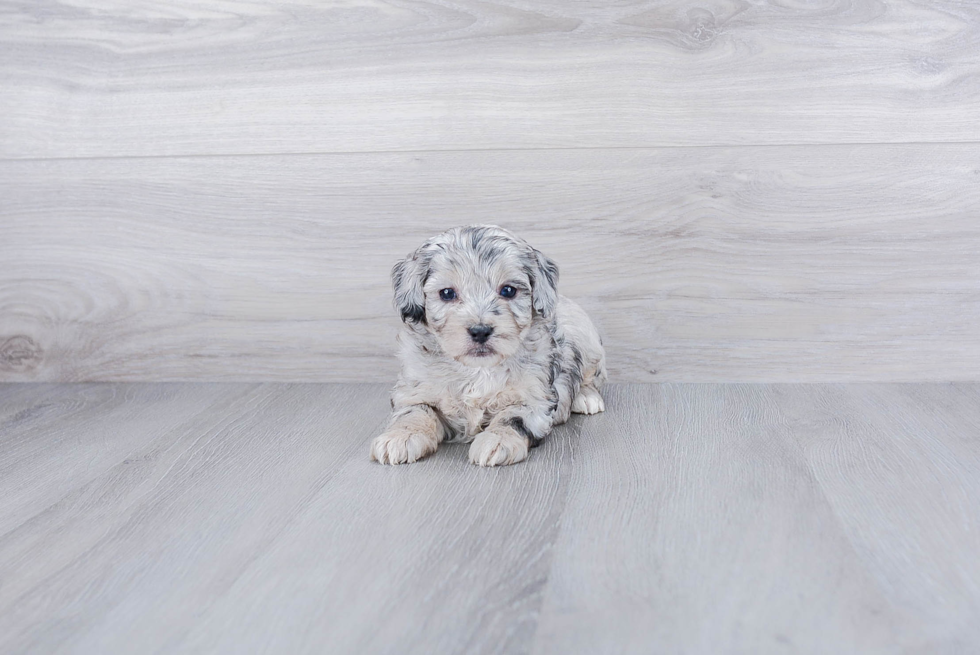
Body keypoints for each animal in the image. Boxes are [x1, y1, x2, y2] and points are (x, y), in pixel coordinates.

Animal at [372, 226, 604, 466]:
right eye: (447, 293)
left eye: (508, 290)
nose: (480, 331)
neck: (478, 369)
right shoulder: (415, 390)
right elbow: (415, 412)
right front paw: (400, 437)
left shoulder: (535, 398)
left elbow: (513, 417)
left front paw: (498, 440)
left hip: (587, 340)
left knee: (590, 376)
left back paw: (587, 398)